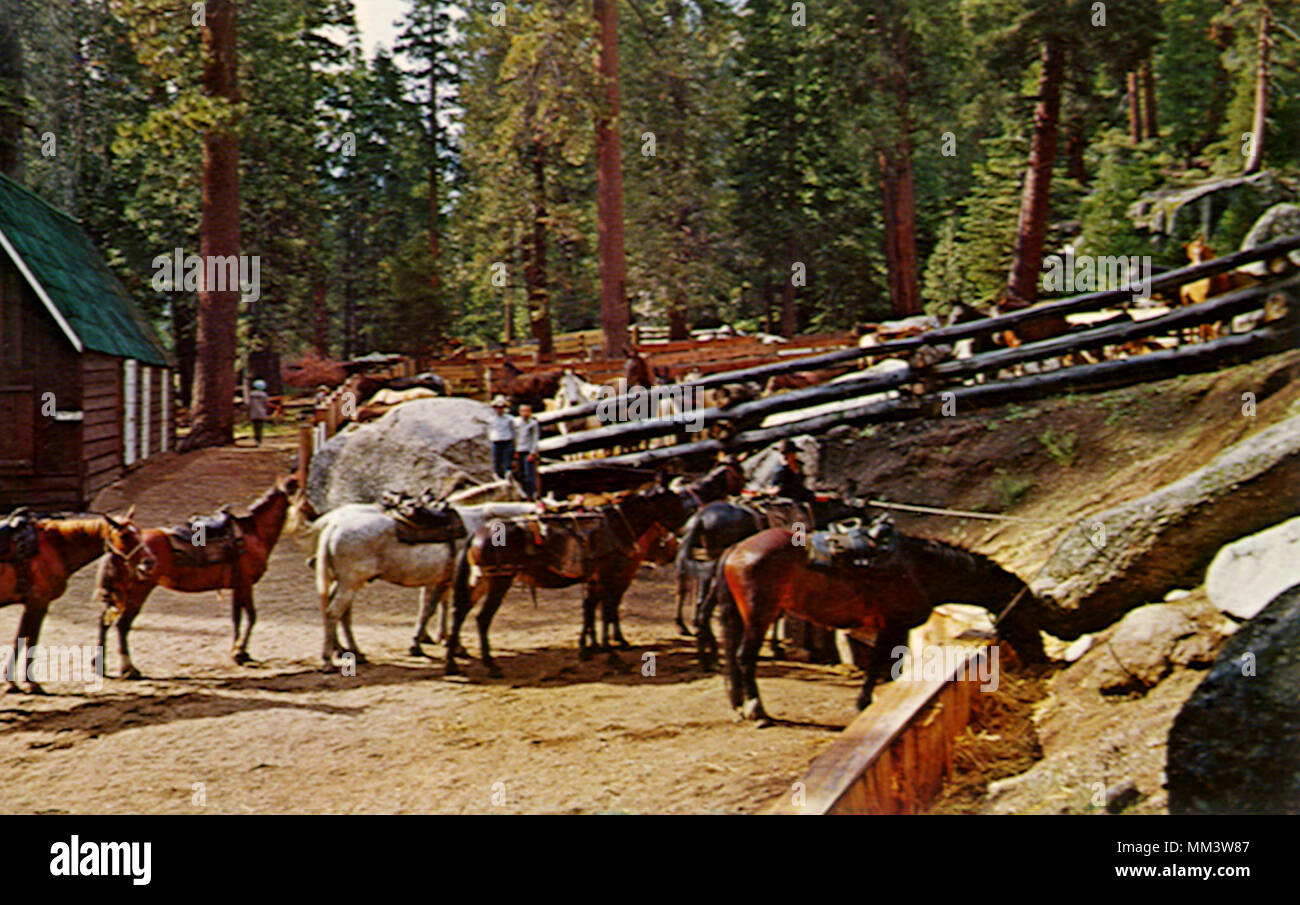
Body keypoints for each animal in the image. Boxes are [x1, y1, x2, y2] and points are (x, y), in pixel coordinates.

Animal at [0, 509, 154, 691]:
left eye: (139, 531)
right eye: (124, 536)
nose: (149, 562)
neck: (56, 547)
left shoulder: (31, 603)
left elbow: (20, 639)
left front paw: (11, 681)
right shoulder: (39, 602)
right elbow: (31, 640)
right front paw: (30, 683)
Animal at [94, 473, 301, 676]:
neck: (254, 531)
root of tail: (116, 550)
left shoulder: (237, 585)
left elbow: (237, 618)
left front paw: (238, 652)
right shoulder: (246, 583)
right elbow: (251, 616)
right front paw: (240, 653)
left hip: (121, 592)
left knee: (104, 621)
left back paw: (99, 665)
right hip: (138, 592)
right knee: (121, 625)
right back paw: (128, 669)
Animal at [444, 460, 743, 676]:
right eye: (673, 500)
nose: (690, 526)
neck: (616, 523)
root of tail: (478, 532)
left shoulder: (597, 578)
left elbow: (594, 611)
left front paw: (590, 648)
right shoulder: (611, 576)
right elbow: (607, 611)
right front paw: (611, 655)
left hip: (481, 580)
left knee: (460, 612)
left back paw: (452, 663)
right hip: (499, 581)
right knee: (482, 619)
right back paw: (490, 664)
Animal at [702, 527, 1045, 722]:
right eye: (1028, 614)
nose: (1041, 659)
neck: (919, 569)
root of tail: (735, 549)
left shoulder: (893, 627)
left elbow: (888, 663)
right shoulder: (893, 626)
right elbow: (883, 664)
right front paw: (864, 703)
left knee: (732, 656)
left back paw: (739, 705)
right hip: (760, 616)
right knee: (745, 658)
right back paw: (757, 711)